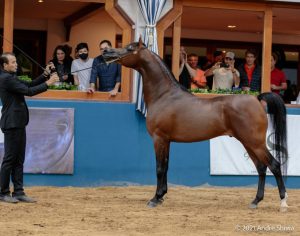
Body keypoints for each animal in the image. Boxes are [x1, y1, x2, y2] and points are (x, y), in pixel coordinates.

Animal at [103, 37, 288, 211]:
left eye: (129, 48)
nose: (106, 52)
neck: (164, 95)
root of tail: (257, 99)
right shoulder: (167, 141)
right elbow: (166, 166)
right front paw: (162, 196)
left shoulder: (159, 138)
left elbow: (159, 168)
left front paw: (155, 199)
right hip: (248, 143)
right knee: (261, 168)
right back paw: (256, 201)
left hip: (255, 143)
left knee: (274, 165)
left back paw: (283, 202)